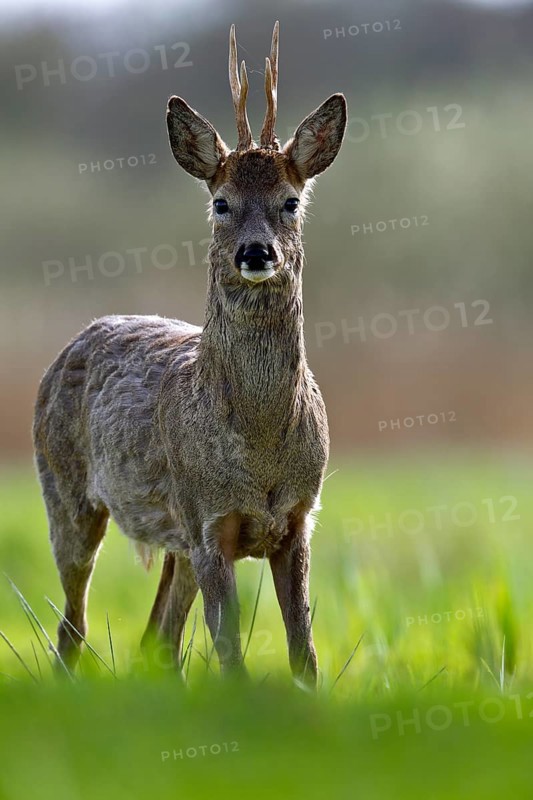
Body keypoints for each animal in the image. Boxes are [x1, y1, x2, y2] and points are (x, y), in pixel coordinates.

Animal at [33, 21, 347, 687]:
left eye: (291, 201)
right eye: (220, 202)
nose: (256, 252)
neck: (260, 448)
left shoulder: (298, 519)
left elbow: (303, 649)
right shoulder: (206, 519)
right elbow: (229, 649)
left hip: (170, 538)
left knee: (157, 638)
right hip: (64, 489)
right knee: (73, 624)